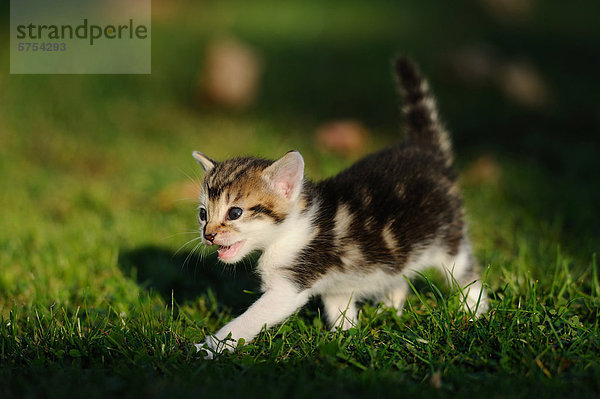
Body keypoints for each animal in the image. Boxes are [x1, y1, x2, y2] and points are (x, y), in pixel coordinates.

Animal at [192, 55, 488, 356]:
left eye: (235, 212)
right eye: (203, 214)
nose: (208, 235)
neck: (293, 228)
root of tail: (427, 151)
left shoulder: (291, 282)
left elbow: (249, 319)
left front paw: (210, 347)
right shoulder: (336, 284)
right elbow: (339, 307)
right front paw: (346, 338)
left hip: (448, 238)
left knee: (464, 270)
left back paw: (474, 312)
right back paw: (388, 311)